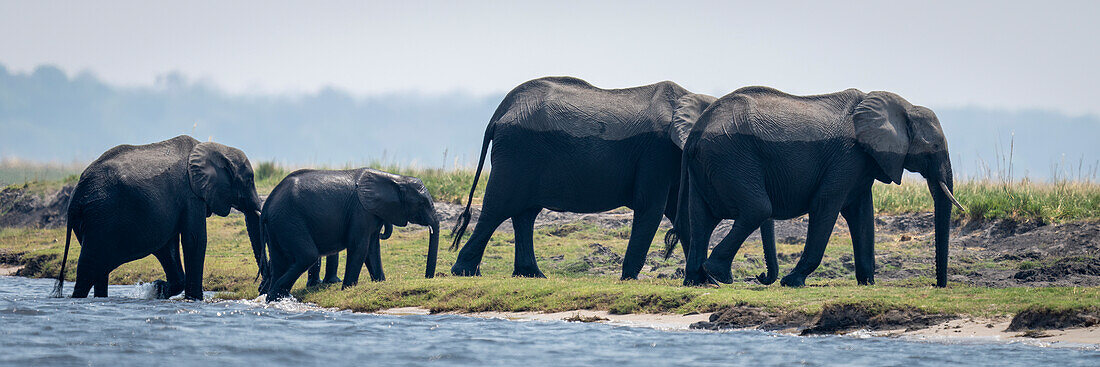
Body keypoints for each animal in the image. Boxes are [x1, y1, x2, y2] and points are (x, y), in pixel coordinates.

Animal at [53, 136, 264, 298]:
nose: (260, 286)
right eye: (249, 180)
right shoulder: (191, 194)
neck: (211, 147)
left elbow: (167, 246)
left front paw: (157, 288)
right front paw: (192, 299)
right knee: (88, 269)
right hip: (99, 217)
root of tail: (75, 196)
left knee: (99, 270)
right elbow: (194, 240)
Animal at [259, 168, 440, 301]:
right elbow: (359, 247)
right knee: (307, 256)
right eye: (421, 203)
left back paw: (273, 298)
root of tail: (266, 206)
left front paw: (380, 283)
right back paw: (273, 296)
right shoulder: (360, 211)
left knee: (280, 261)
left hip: (278, 225)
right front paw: (347, 289)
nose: (428, 278)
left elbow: (372, 249)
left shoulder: (372, 212)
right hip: (289, 219)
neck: (393, 178)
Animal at [446, 75, 721, 279]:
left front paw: (703, 280)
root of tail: (501, 111)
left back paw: (532, 274)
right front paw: (629, 280)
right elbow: (651, 207)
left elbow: (681, 212)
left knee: (525, 213)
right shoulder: (656, 152)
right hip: (516, 151)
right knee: (498, 207)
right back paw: (464, 272)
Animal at [673, 87, 968, 287]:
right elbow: (826, 205)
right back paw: (718, 275)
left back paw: (698, 280)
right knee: (758, 209)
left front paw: (867, 283)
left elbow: (862, 214)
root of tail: (698, 128)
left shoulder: (863, 163)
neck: (904, 105)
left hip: (709, 164)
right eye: (933, 147)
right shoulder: (847, 157)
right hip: (731, 156)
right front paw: (792, 281)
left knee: (701, 218)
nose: (937, 285)